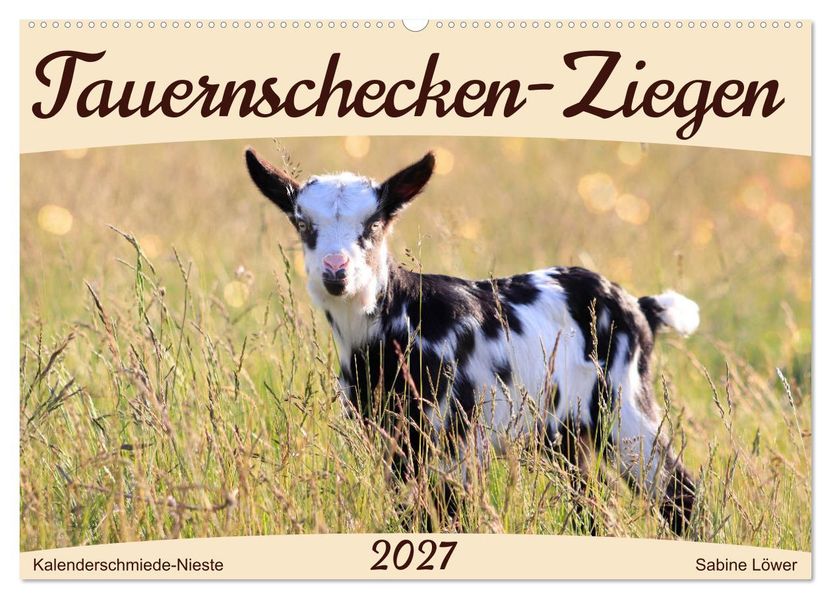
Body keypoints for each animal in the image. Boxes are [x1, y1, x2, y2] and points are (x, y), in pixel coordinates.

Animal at [245, 147, 699, 536]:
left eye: (374, 224)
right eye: (303, 224)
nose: (335, 271)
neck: (399, 322)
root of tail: (638, 307)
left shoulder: (453, 439)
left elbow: (447, 518)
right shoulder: (389, 440)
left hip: (623, 408)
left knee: (679, 491)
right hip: (566, 434)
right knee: (591, 504)